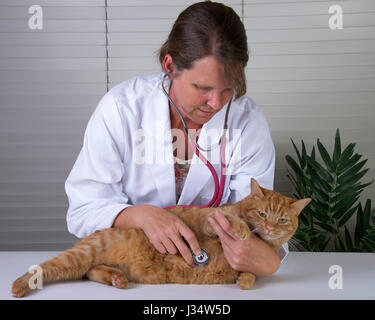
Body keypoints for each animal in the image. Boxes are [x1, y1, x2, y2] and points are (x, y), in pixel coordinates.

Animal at [11, 179, 312, 298]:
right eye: (262, 214)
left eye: (282, 220)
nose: (270, 228)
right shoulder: (207, 217)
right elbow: (228, 219)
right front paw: (240, 230)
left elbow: (251, 273)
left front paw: (245, 280)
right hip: (79, 256)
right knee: (45, 269)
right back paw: (19, 286)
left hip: (91, 263)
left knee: (90, 272)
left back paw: (116, 278)